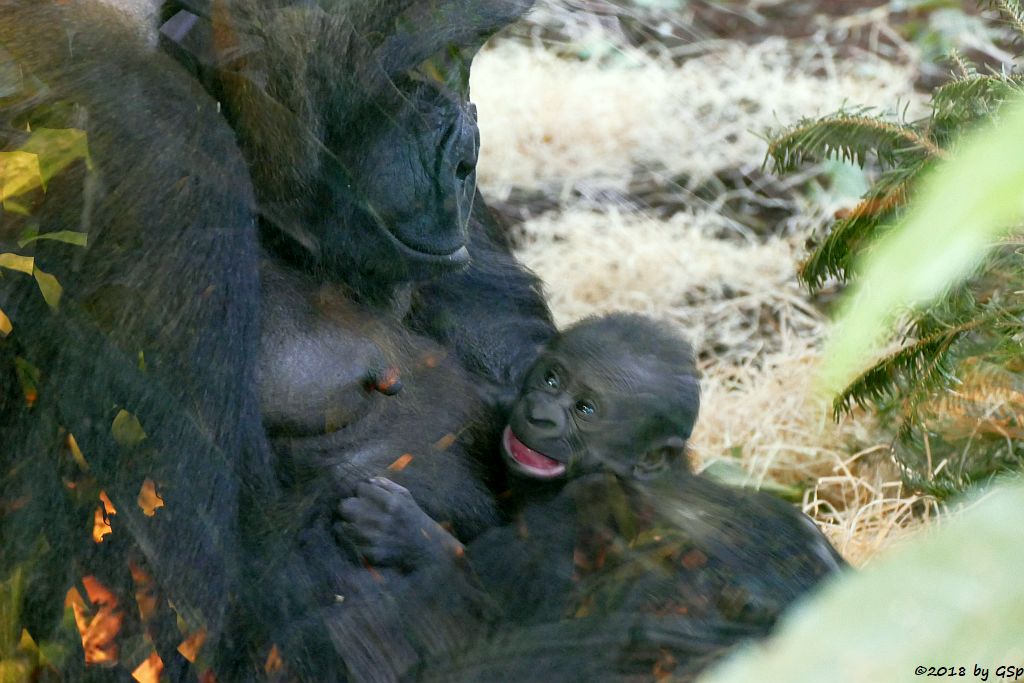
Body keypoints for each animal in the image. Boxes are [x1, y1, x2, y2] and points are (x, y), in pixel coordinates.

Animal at [335, 315, 839, 671]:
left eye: (586, 409)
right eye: (551, 378)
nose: (539, 414)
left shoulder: (583, 508)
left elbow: (487, 615)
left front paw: (405, 531)